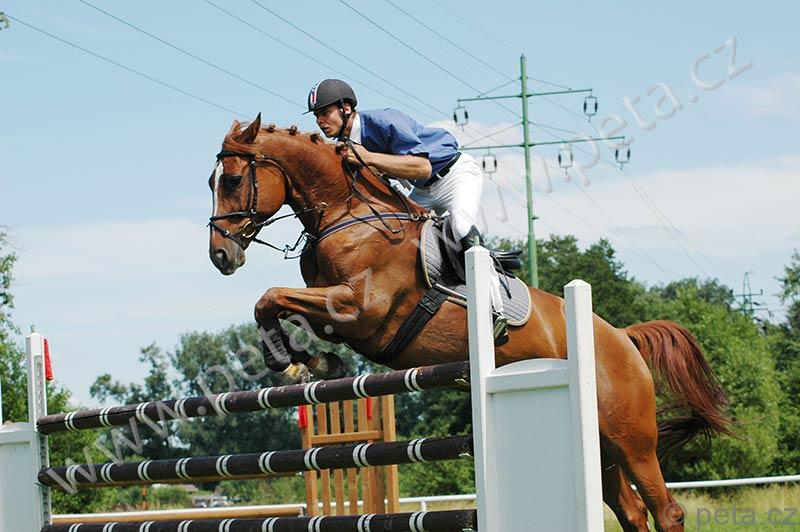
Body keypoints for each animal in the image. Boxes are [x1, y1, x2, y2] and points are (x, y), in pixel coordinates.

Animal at [207, 115, 732, 531]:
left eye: (230, 180)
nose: (220, 255)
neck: (345, 213)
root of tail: (621, 337)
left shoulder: (363, 309)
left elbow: (271, 297)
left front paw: (293, 361)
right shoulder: (336, 310)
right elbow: (274, 306)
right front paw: (311, 363)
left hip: (631, 438)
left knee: (665, 510)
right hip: (598, 448)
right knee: (631, 512)